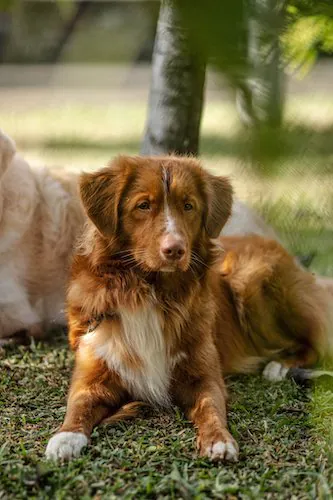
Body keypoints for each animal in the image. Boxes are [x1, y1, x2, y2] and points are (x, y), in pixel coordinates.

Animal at [44, 155, 330, 460]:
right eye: (143, 205)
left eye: (188, 206)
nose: (175, 249)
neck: (149, 291)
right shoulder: (92, 372)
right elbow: (79, 405)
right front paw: (66, 437)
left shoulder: (204, 376)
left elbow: (211, 408)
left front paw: (219, 439)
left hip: (250, 281)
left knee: (315, 343)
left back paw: (280, 366)